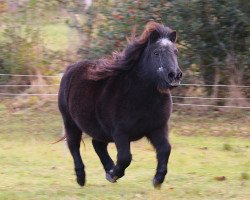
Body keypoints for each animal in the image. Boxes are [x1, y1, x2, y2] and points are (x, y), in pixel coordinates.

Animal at [59, 22, 184, 189]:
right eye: (156, 53)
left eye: (176, 52)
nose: (174, 76)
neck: (142, 98)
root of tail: (70, 69)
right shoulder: (121, 133)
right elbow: (125, 157)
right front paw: (114, 174)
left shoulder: (158, 128)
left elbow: (165, 150)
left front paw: (158, 180)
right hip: (70, 122)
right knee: (74, 146)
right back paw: (82, 177)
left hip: (100, 129)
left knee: (97, 144)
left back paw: (108, 169)